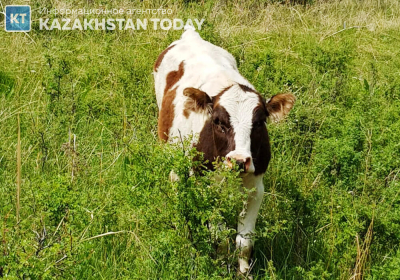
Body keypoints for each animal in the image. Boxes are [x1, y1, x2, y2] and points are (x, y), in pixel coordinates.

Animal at [152, 26, 294, 276]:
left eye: (260, 122)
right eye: (218, 122)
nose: (239, 160)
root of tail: (191, 35)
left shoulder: (256, 188)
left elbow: (244, 242)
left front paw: (244, 272)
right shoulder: (202, 184)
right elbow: (220, 237)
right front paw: (220, 265)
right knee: (174, 176)